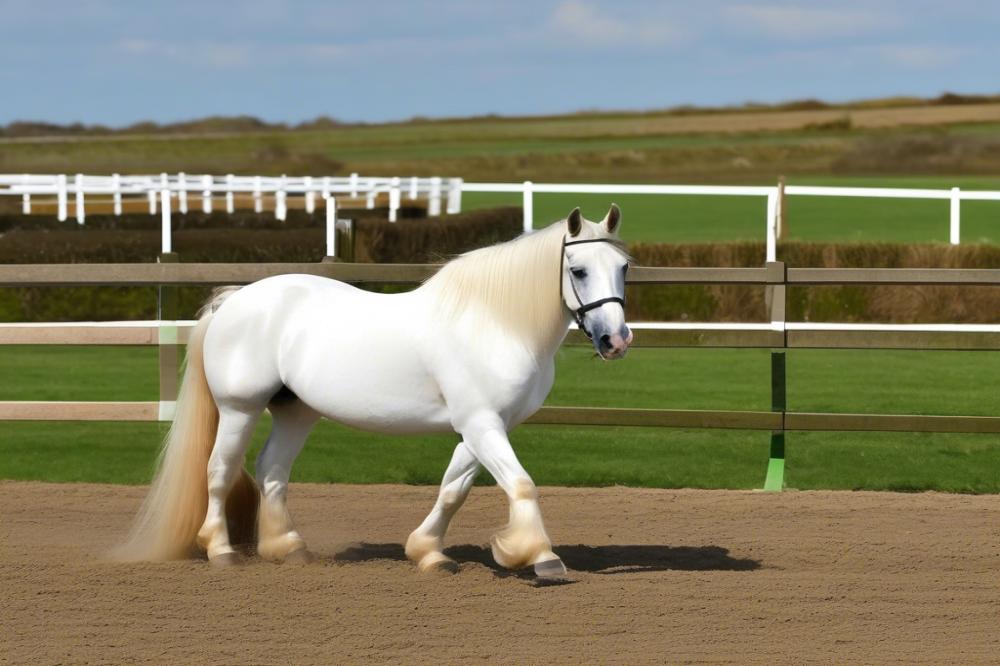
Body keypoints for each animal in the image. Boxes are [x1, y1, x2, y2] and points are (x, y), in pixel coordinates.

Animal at [119, 205, 632, 572]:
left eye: (624, 266)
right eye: (579, 270)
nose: (616, 339)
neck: (496, 324)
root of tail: (234, 300)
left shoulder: (485, 427)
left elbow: (454, 489)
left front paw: (429, 552)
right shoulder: (482, 424)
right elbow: (521, 485)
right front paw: (540, 556)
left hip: (296, 410)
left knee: (272, 470)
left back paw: (289, 547)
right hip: (239, 408)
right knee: (220, 471)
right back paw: (221, 551)